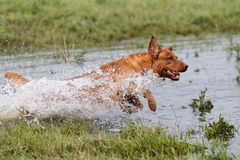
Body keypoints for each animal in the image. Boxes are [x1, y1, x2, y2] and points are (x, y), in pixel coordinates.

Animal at [4, 36, 188, 113]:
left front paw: (134, 107)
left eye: (176, 56)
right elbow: (146, 91)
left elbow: (135, 101)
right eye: (170, 58)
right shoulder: (123, 84)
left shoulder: (124, 92)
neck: (141, 64)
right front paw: (152, 105)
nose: (187, 66)